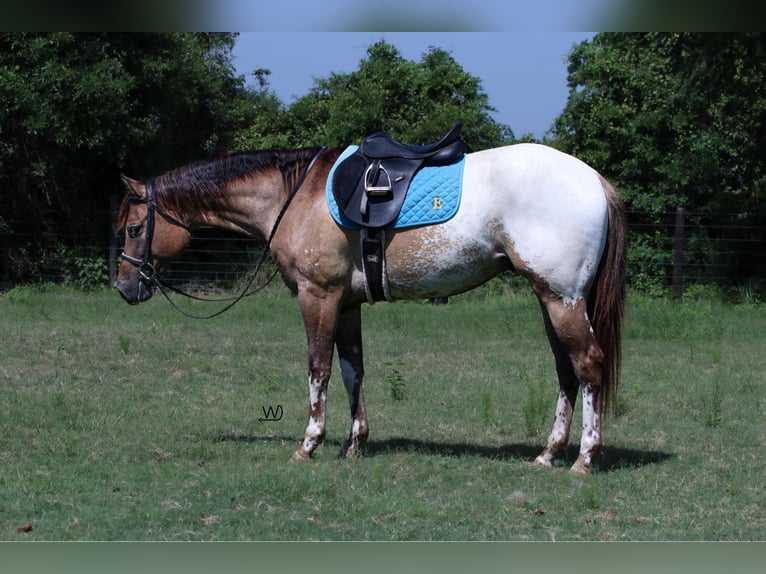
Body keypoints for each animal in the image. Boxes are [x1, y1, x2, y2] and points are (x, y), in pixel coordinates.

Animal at [117, 142, 628, 474]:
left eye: (134, 228)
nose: (124, 287)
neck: (296, 197)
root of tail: (595, 180)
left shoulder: (318, 296)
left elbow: (318, 369)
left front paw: (309, 444)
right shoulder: (346, 304)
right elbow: (352, 371)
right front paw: (354, 444)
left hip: (562, 299)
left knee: (588, 365)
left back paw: (584, 458)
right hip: (550, 299)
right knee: (566, 371)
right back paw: (548, 454)